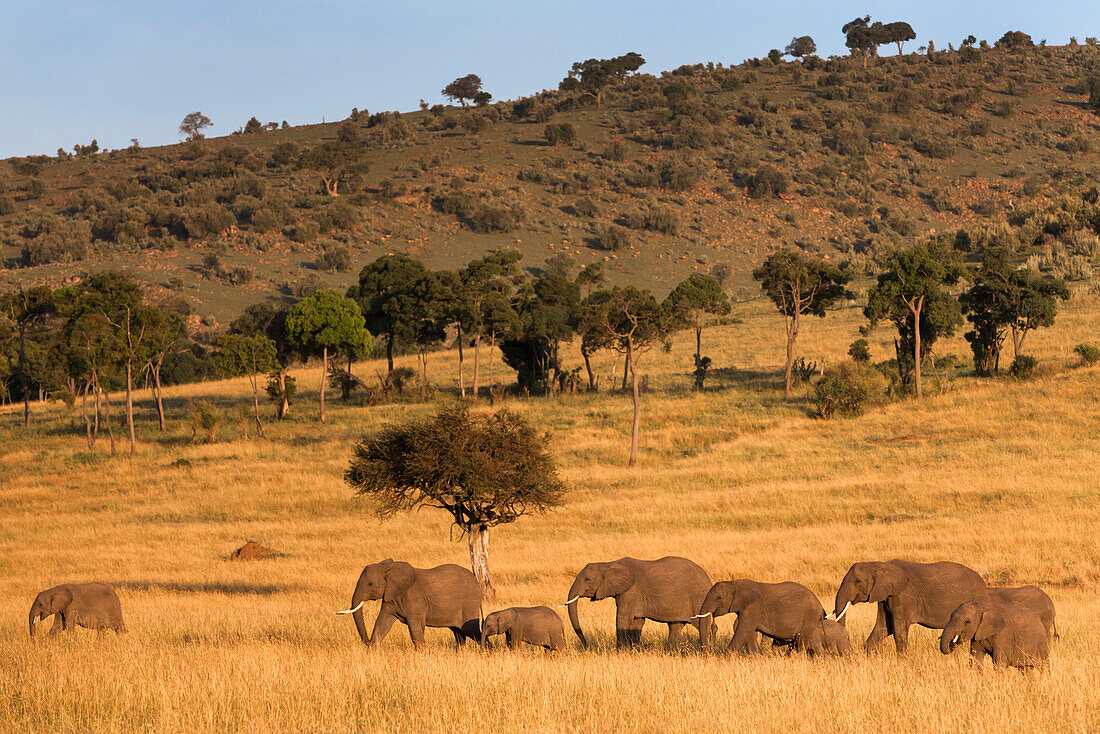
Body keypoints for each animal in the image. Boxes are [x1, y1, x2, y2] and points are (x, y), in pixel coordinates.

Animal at [334, 559, 481, 647]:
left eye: (370, 584)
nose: (368, 643)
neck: (388, 568)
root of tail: (476, 580)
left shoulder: (415, 598)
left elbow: (415, 628)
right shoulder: (390, 596)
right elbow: (382, 623)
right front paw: (374, 649)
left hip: (469, 603)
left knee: (471, 630)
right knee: (458, 633)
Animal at [563, 556, 708, 647]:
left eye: (587, 579)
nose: (585, 645)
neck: (608, 563)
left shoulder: (630, 591)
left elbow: (622, 619)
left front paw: (621, 652)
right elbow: (637, 621)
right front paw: (634, 650)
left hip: (698, 598)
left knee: (703, 624)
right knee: (675, 626)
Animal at [695, 581, 827, 655]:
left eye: (718, 597)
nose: (708, 654)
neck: (734, 584)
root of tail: (820, 606)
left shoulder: (752, 608)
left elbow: (743, 631)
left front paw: (725, 657)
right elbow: (749, 633)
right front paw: (757, 658)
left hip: (809, 618)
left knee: (802, 642)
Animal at [831, 563, 990, 655]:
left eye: (858, 581)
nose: (850, 652)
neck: (879, 565)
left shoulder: (904, 596)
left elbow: (898, 629)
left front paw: (902, 661)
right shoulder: (885, 596)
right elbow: (883, 628)